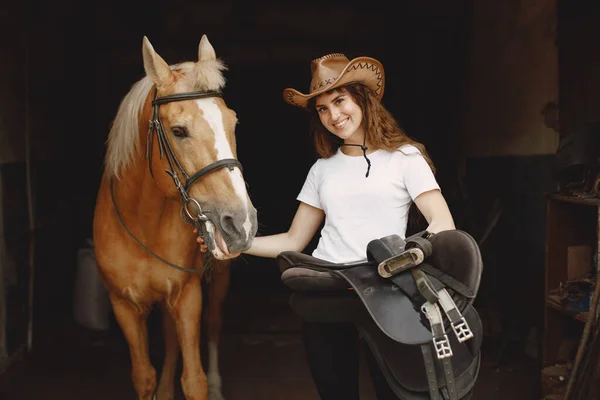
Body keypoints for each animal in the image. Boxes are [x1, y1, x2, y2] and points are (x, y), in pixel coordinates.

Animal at [92, 35, 256, 400]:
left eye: (233, 123)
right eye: (179, 131)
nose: (241, 223)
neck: (143, 222)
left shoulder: (188, 297)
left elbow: (194, 381)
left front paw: (204, 384)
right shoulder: (124, 305)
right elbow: (144, 376)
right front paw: (159, 386)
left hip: (217, 280)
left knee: (212, 324)